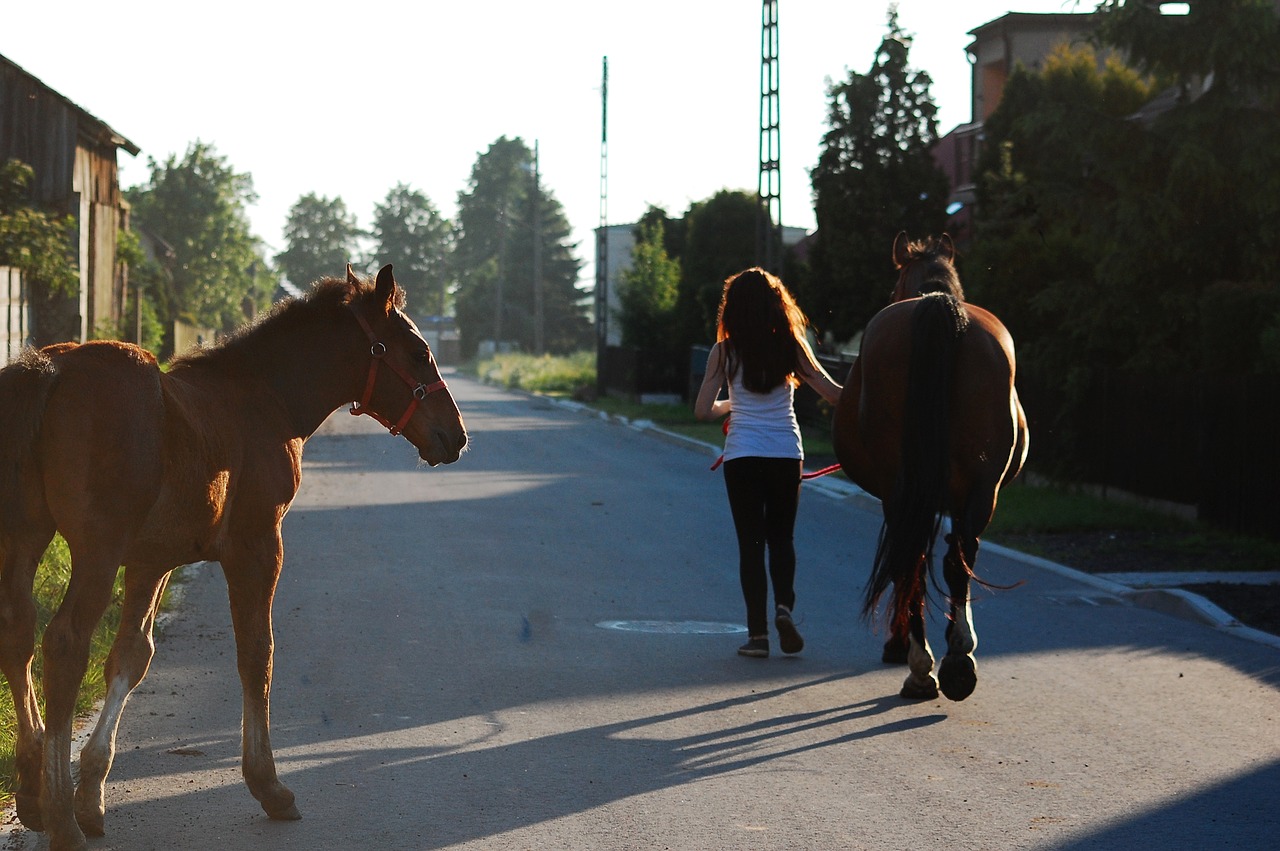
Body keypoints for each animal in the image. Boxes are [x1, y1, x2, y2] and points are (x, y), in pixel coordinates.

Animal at [0, 262, 468, 844]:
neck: (265, 400)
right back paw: (61, 820)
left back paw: (34, 791)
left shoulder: (151, 561)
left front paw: (93, 791)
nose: (456, 435)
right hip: (96, 551)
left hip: (25, 537)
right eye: (418, 352)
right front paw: (268, 784)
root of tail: (50, 368)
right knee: (63, 644)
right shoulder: (258, 545)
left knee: (17, 633)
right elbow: (256, 653)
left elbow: (131, 655)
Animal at [829, 234, 1029, 701]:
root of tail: (938, 308)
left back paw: (921, 668)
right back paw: (957, 663)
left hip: (904, 489)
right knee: (956, 557)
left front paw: (899, 643)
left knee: (913, 560)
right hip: (982, 489)